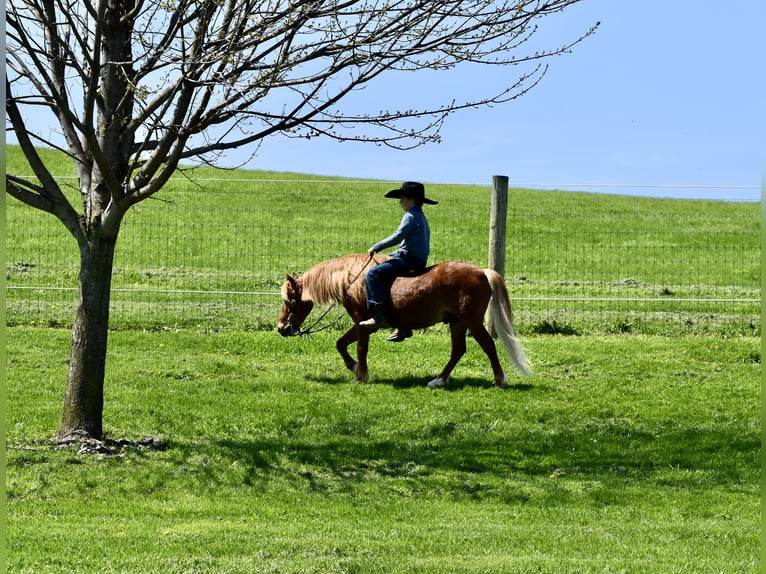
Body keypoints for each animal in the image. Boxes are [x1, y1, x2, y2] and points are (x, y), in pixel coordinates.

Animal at [277, 253, 531, 388]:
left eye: (290, 300)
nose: (281, 328)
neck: (353, 280)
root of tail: (482, 272)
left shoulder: (362, 323)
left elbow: (360, 348)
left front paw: (360, 375)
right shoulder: (362, 324)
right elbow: (341, 344)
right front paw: (355, 368)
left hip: (472, 321)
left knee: (487, 345)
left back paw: (500, 380)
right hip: (457, 322)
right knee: (458, 350)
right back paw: (439, 380)